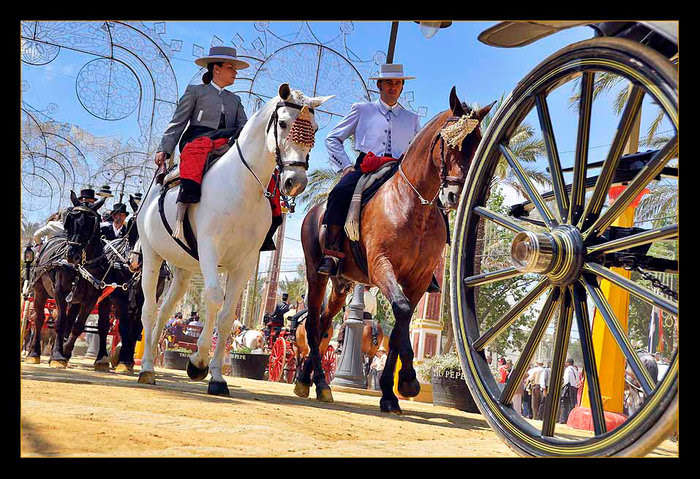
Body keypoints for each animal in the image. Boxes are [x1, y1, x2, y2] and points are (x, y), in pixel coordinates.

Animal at [138, 84, 334, 396]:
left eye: (314, 128)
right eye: (283, 123)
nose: (296, 181)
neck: (242, 186)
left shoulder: (245, 261)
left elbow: (228, 315)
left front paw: (216, 376)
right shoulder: (209, 248)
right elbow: (214, 298)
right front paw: (198, 362)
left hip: (184, 269)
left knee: (165, 310)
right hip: (152, 257)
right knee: (148, 309)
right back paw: (145, 368)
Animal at [298, 89, 494, 412]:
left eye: (477, 143)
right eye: (450, 141)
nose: (455, 195)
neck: (413, 205)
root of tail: (314, 212)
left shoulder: (418, 280)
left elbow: (401, 326)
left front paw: (392, 391)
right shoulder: (381, 266)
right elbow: (401, 313)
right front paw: (409, 380)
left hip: (341, 285)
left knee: (325, 323)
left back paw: (308, 377)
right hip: (317, 275)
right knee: (314, 324)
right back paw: (319, 383)